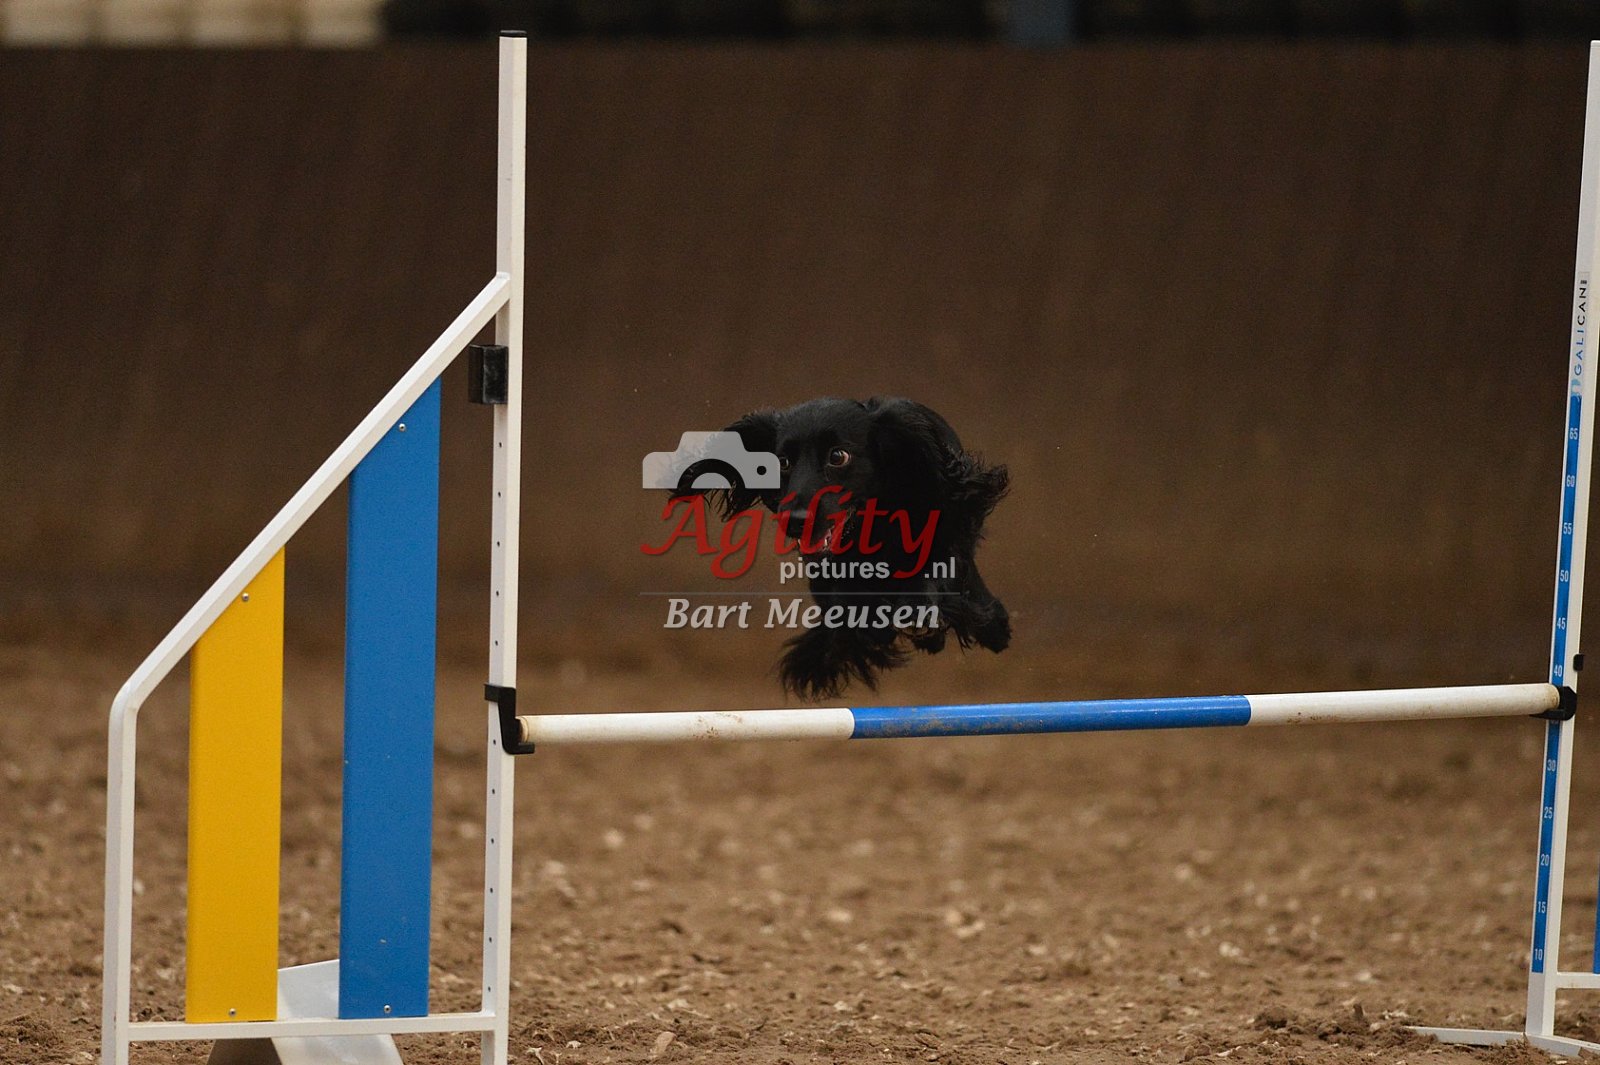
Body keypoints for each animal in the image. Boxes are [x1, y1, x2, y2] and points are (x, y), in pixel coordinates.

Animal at [701, 396, 1010, 699]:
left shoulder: (949, 521)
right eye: (783, 462)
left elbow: (935, 568)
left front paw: (916, 610)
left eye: (837, 456)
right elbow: (846, 603)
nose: (796, 521)